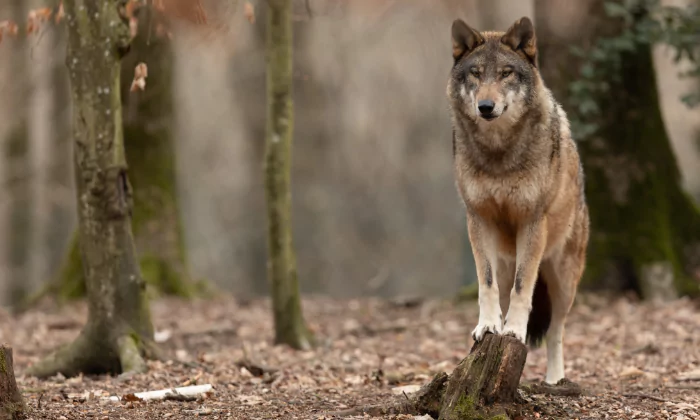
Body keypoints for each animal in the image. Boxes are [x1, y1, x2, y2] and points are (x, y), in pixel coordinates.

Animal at [446, 15, 588, 384]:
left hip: (562, 280)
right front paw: (488, 326)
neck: (499, 153)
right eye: (476, 74)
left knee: (555, 332)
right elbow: (487, 284)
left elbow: (523, 290)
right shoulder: (478, 219)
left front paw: (513, 332)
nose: (485, 107)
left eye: (506, 73)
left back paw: (554, 380)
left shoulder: (531, 221)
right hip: (508, 260)